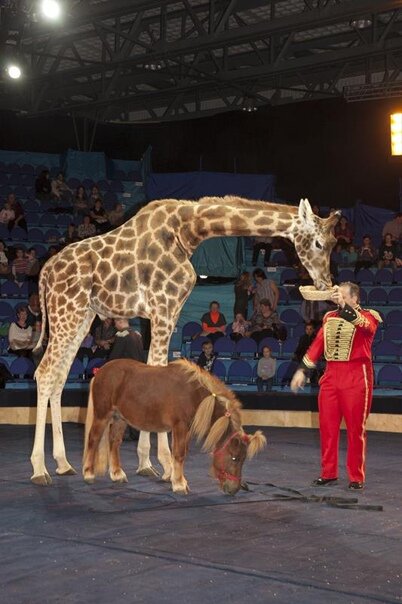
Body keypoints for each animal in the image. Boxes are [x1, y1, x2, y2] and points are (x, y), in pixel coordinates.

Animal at [83, 358, 266, 496]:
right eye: (234, 458)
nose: (234, 489)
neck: (192, 393)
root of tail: (101, 371)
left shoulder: (186, 430)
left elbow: (182, 453)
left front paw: (178, 480)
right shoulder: (180, 426)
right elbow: (178, 454)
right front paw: (178, 484)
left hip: (120, 418)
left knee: (114, 442)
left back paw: (117, 474)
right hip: (102, 416)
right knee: (93, 439)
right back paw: (88, 474)